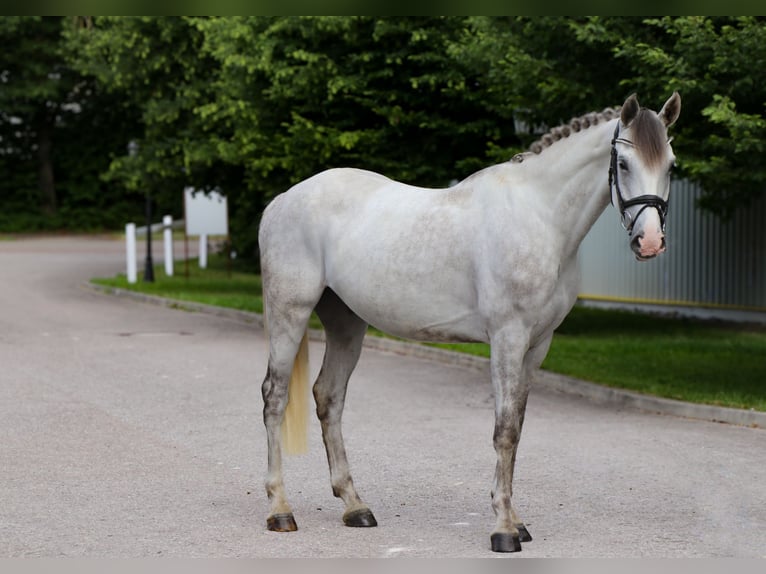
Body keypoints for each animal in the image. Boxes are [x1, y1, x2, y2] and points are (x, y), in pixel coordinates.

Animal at [257, 92, 681, 553]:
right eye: (622, 163)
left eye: (671, 165)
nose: (650, 242)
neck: (540, 217)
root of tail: (281, 201)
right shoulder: (508, 338)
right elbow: (504, 431)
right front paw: (504, 530)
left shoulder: (538, 345)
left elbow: (518, 428)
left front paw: (517, 521)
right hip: (289, 313)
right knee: (275, 398)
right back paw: (280, 510)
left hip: (347, 323)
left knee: (329, 398)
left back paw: (355, 507)